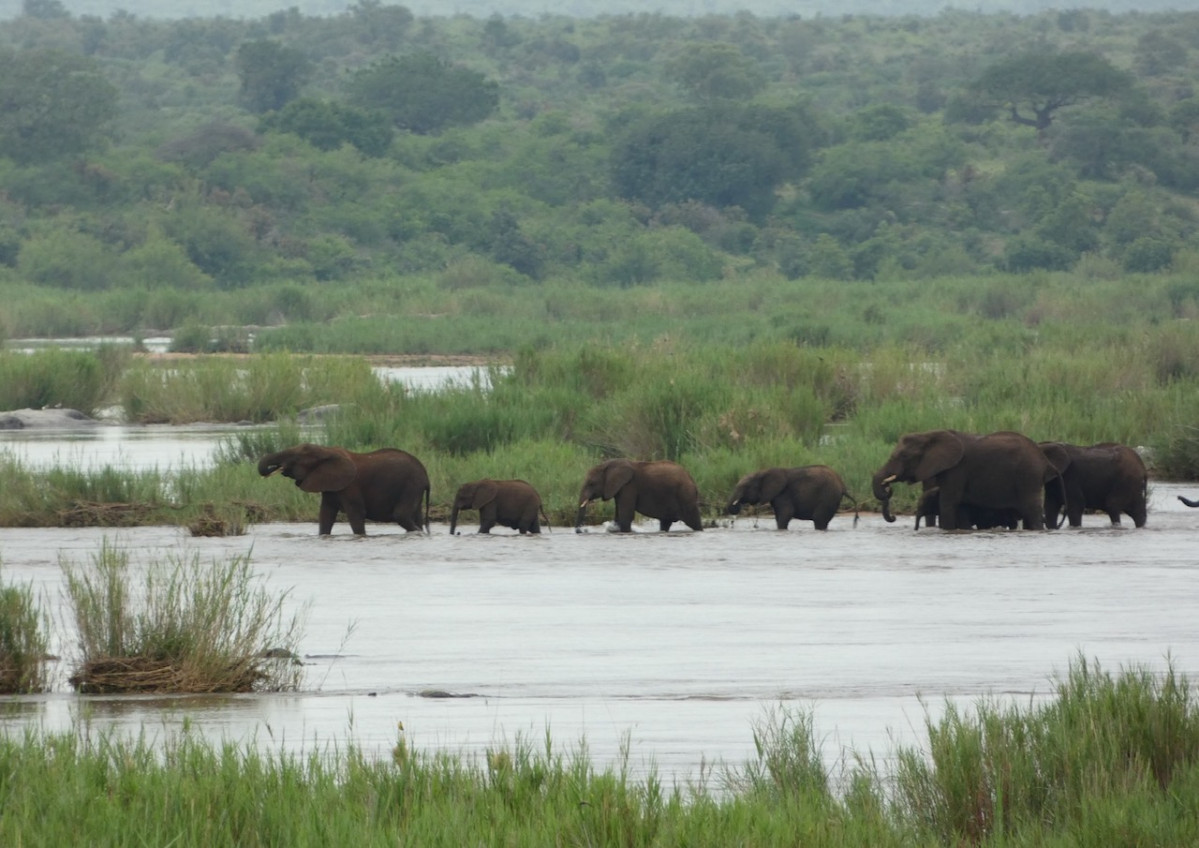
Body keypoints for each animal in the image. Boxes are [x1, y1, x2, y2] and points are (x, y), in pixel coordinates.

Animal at [258, 443, 429, 535]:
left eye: (297, 458)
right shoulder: (329, 486)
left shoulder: (350, 487)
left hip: (411, 485)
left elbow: (356, 515)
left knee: (401, 515)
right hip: (415, 489)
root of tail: (426, 475)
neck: (326, 450)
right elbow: (325, 515)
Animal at [725, 465, 858, 530]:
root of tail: (842, 485)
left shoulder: (783, 494)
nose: (732, 521)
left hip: (828, 496)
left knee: (819, 519)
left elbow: (786, 514)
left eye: (745, 486)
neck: (763, 472)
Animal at [873, 429, 1061, 531]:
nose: (894, 517)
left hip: (1028, 475)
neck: (929, 434)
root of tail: (1045, 460)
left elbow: (948, 503)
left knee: (1032, 510)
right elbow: (961, 506)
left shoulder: (957, 469)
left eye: (903, 456)